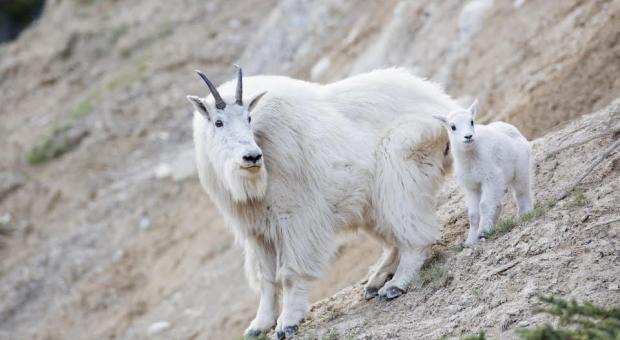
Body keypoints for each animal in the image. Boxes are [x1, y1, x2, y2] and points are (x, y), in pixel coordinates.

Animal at [186, 65, 458, 338]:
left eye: (249, 118)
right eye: (218, 122)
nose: (252, 157)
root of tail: (444, 106)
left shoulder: (295, 218)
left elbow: (290, 274)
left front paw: (287, 323)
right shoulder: (257, 232)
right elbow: (267, 279)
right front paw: (259, 325)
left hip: (399, 173)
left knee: (414, 234)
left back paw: (396, 284)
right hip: (370, 203)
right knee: (393, 239)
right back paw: (376, 280)